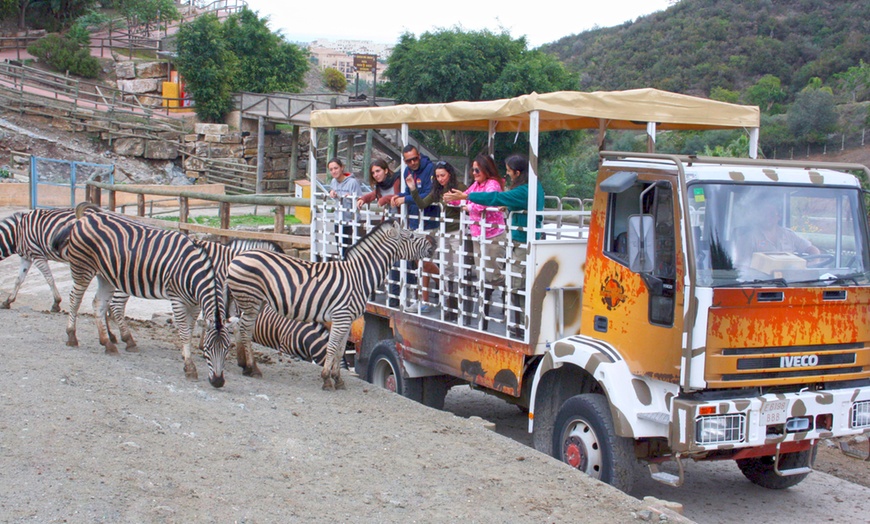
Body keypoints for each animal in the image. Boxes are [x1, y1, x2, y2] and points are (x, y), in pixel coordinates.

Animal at [52, 203, 232, 386]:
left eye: (226, 348)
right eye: (209, 348)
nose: (218, 382)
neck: (193, 272)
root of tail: (86, 217)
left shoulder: (194, 304)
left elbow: (189, 329)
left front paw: (185, 356)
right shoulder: (177, 299)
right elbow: (184, 333)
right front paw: (189, 367)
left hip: (105, 275)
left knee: (98, 304)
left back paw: (108, 343)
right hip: (83, 267)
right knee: (75, 299)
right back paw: (72, 336)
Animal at [228, 218, 436, 388]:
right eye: (410, 235)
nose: (433, 246)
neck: (358, 275)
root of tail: (238, 256)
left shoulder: (348, 319)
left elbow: (341, 348)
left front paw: (338, 378)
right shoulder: (341, 316)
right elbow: (332, 346)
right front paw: (327, 378)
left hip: (255, 303)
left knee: (239, 327)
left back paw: (245, 366)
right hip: (251, 300)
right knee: (245, 330)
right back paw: (252, 368)